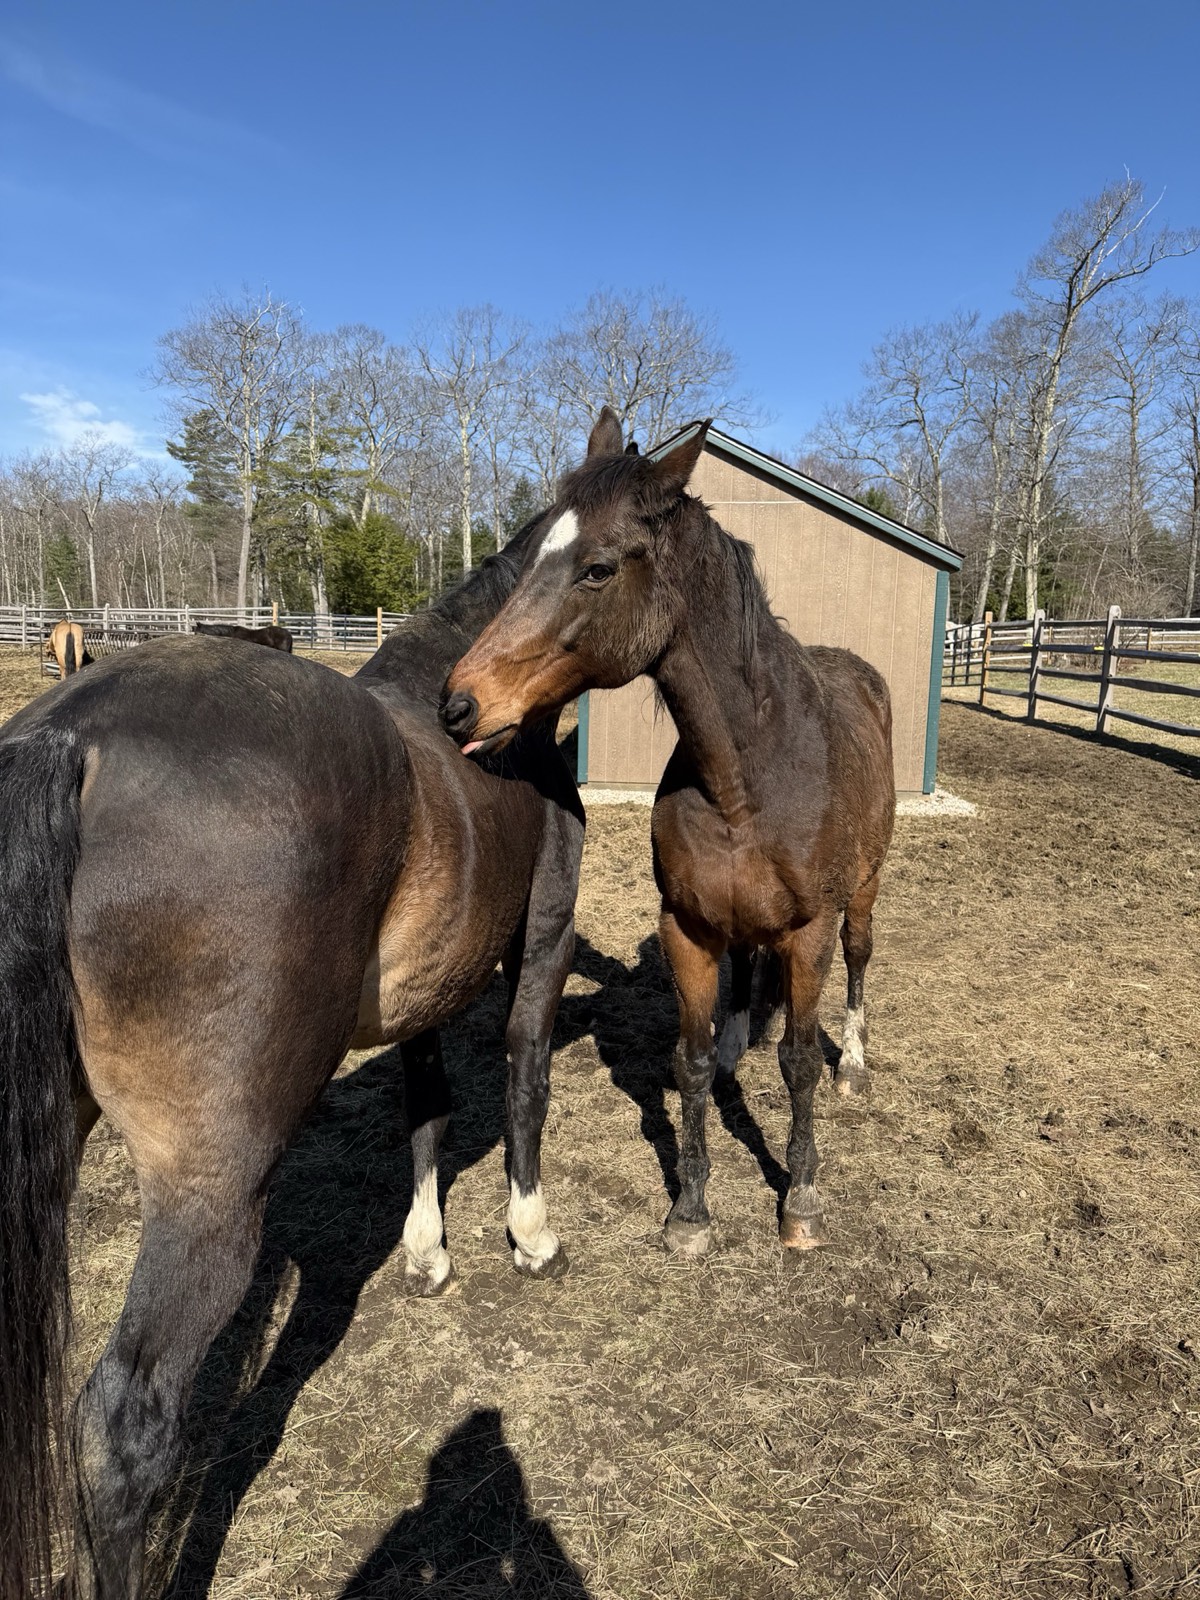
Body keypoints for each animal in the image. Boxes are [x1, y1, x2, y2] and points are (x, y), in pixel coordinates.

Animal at [0, 523, 583, 1600]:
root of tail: (72, 736)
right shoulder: (545, 935)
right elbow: (525, 1080)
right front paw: (531, 1235)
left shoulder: (426, 988)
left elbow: (428, 1104)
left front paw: (428, 1251)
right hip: (210, 1202)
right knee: (121, 1431)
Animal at [443, 408, 895, 1258]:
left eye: (596, 569)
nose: (458, 703)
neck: (748, 776)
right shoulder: (686, 926)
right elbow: (687, 1062)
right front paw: (691, 1209)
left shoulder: (810, 932)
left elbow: (796, 1062)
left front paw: (800, 1200)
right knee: (746, 973)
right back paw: (737, 1042)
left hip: (864, 889)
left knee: (859, 959)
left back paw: (853, 1060)